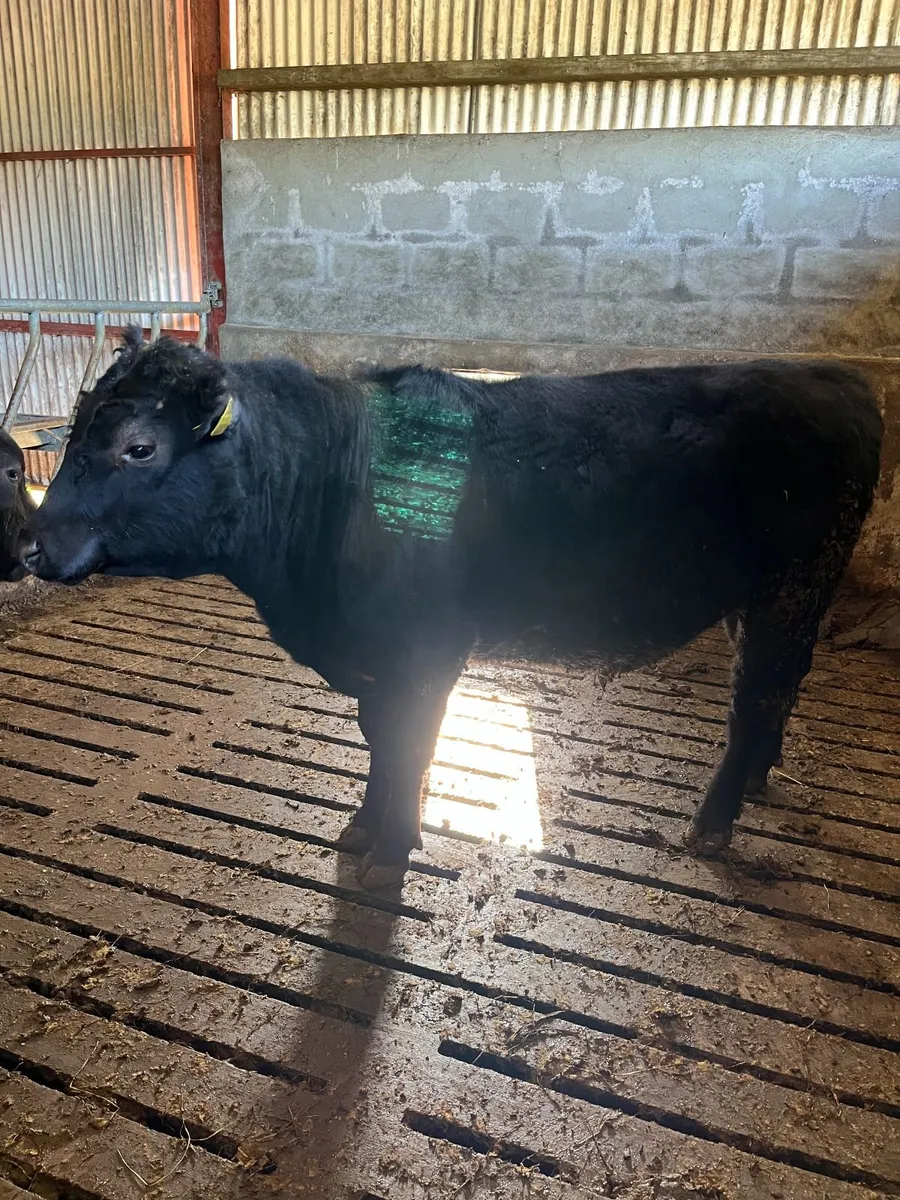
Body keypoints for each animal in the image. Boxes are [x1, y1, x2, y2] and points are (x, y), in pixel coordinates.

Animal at [20, 329, 883, 888]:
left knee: (756, 695)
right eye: (73, 430)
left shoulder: (428, 651)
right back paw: (758, 784)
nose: (30, 543)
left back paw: (711, 825)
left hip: (791, 584)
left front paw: (393, 846)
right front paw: (363, 829)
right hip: (767, 596)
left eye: (138, 447)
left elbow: (407, 745)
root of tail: (838, 379)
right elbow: (379, 739)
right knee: (778, 686)